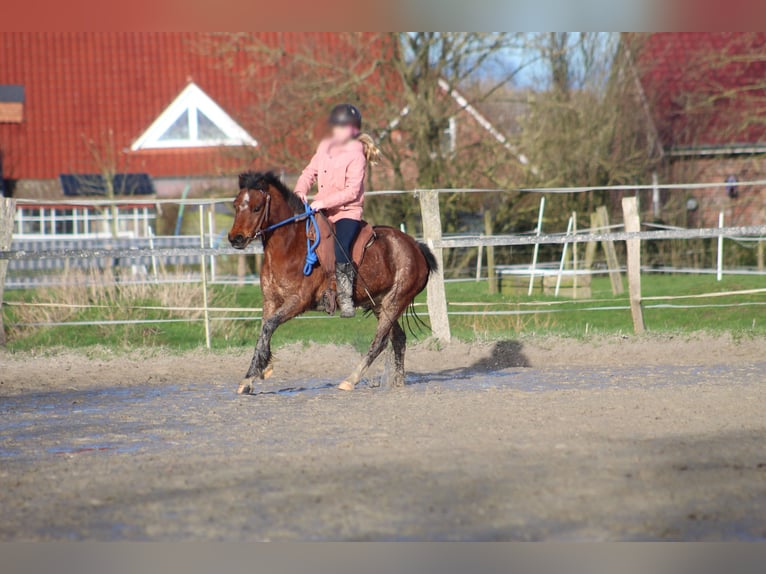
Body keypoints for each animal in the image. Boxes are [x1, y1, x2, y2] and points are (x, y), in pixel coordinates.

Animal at [228, 171, 437, 394]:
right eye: (236, 204)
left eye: (257, 207)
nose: (235, 239)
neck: (290, 247)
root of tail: (416, 246)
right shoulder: (270, 301)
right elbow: (263, 331)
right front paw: (251, 376)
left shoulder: (298, 301)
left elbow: (268, 326)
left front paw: (259, 371)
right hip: (380, 304)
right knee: (398, 339)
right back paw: (397, 382)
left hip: (395, 301)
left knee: (380, 342)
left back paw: (351, 380)